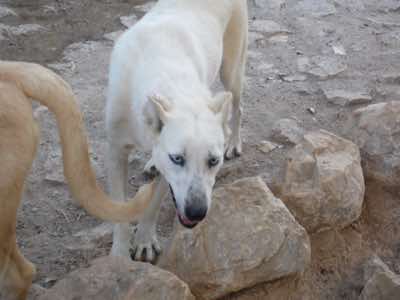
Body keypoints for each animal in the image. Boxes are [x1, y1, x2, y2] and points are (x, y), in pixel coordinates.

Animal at [108, 0, 248, 262]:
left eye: (214, 161)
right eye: (177, 158)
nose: (197, 212)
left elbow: (154, 201)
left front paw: (144, 240)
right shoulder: (115, 151)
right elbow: (119, 210)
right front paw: (119, 255)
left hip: (231, 71)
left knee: (237, 107)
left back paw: (234, 141)